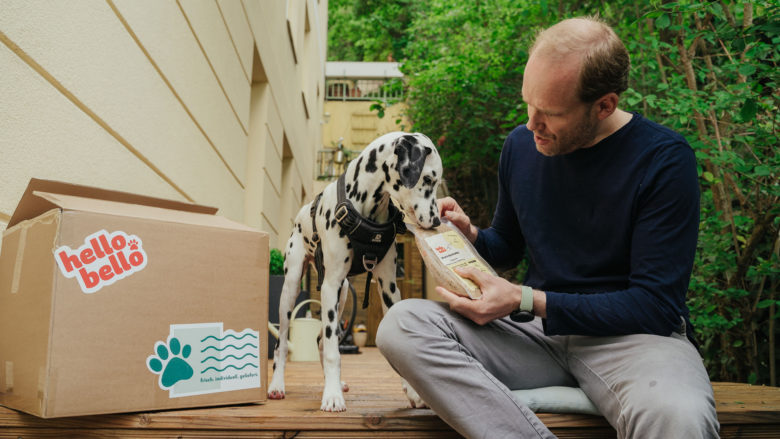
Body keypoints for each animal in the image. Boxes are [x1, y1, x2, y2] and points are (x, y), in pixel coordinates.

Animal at [268, 131, 442, 412]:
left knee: (321, 339)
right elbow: (332, 351)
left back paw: (336, 382)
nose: (436, 221)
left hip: (341, 298)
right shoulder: (330, 284)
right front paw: (332, 396)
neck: (365, 204)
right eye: (427, 179)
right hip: (292, 290)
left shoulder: (388, 287)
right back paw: (277, 385)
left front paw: (413, 392)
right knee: (282, 343)